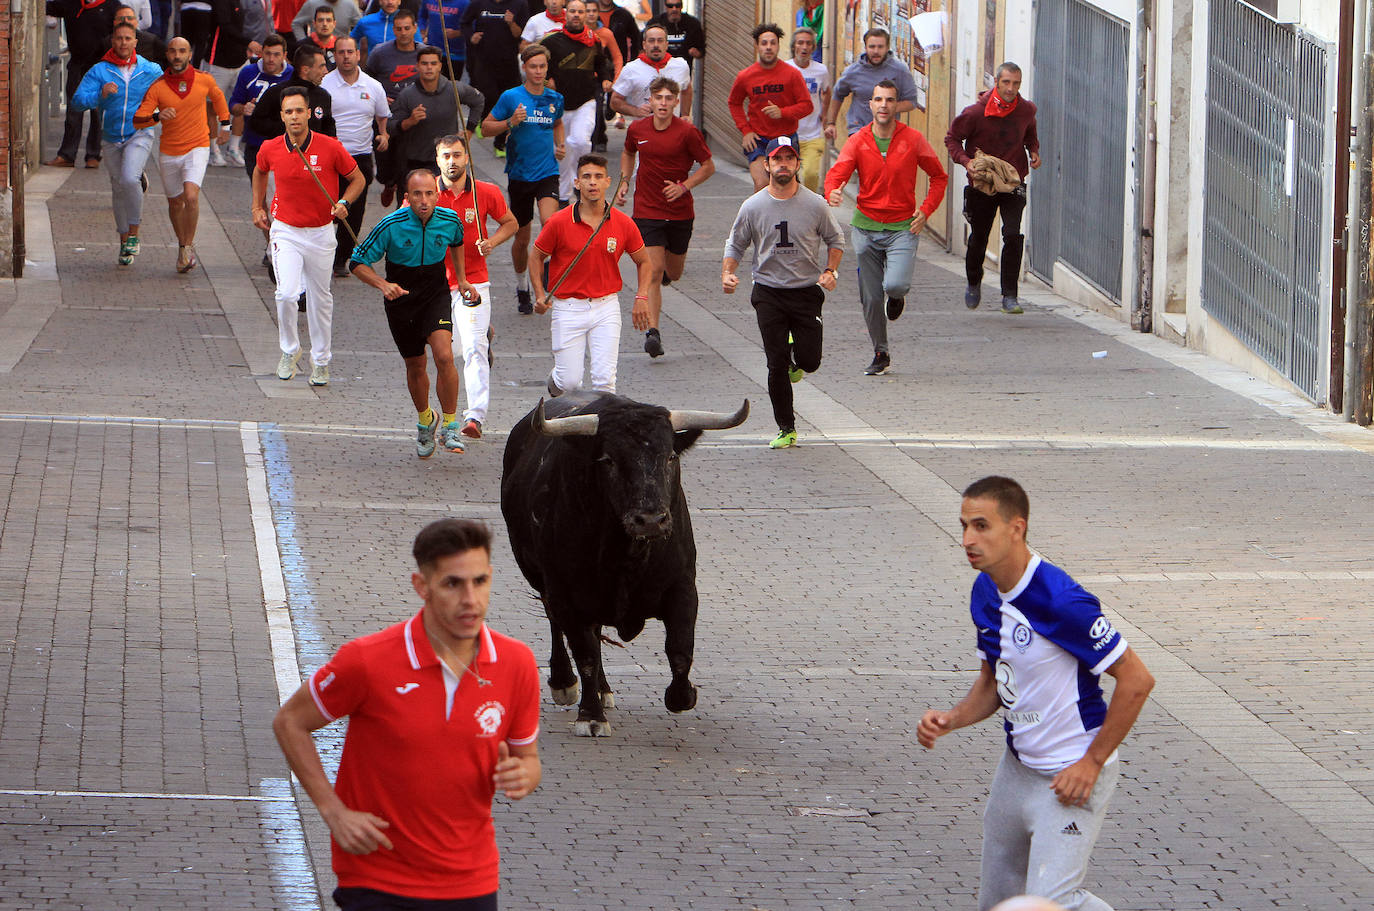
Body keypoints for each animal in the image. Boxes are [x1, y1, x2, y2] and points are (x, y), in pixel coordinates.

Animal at [500, 392, 747, 736]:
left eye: (671, 456)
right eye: (608, 460)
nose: (651, 520)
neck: (627, 556)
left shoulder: (683, 587)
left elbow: (680, 648)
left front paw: (682, 695)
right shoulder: (566, 593)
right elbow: (585, 653)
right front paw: (590, 716)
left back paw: (604, 689)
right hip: (539, 576)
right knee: (558, 625)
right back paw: (565, 683)